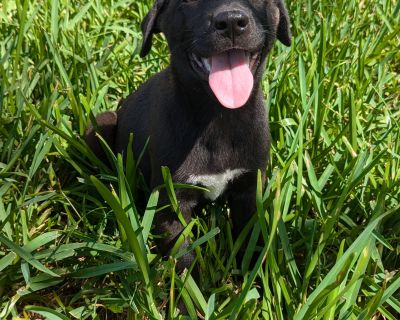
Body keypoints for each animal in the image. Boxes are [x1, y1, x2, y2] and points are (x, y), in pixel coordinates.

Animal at [86, 0, 290, 270]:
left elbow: (252, 242)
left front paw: (255, 276)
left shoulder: (250, 188)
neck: (218, 115)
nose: (231, 22)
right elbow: (183, 255)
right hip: (101, 123)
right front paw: (189, 282)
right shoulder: (171, 201)